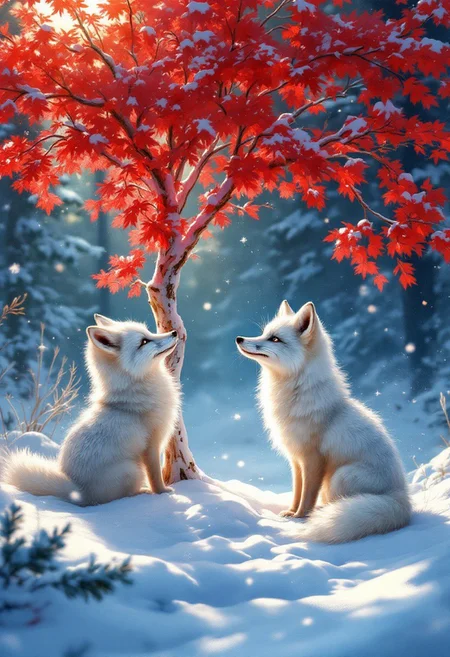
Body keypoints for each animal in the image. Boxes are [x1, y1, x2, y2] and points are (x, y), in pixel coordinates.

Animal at [2, 314, 180, 505]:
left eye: (148, 332)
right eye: (144, 341)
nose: (174, 332)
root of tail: (77, 490)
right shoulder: (151, 446)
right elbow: (155, 476)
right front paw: (163, 492)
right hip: (133, 471)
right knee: (119, 496)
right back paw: (142, 492)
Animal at [236, 300, 411, 543]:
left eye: (275, 339)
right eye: (263, 333)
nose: (239, 339)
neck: (296, 393)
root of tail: (402, 499)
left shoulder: (313, 458)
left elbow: (308, 495)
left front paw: (301, 518)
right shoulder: (296, 459)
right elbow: (297, 491)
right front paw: (290, 513)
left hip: (339, 477)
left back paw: (324, 514)